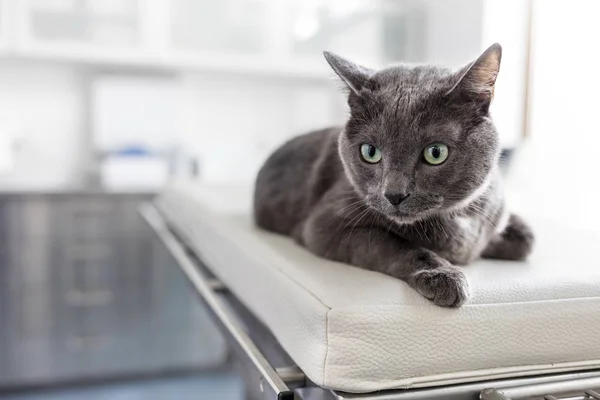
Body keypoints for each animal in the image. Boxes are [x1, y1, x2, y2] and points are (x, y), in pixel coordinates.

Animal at [253, 43, 536, 306]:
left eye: (436, 153)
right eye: (370, 151)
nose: (394, 194)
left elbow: (528, 238)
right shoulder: (324, 226)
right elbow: (398, 245)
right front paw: (444, 276)